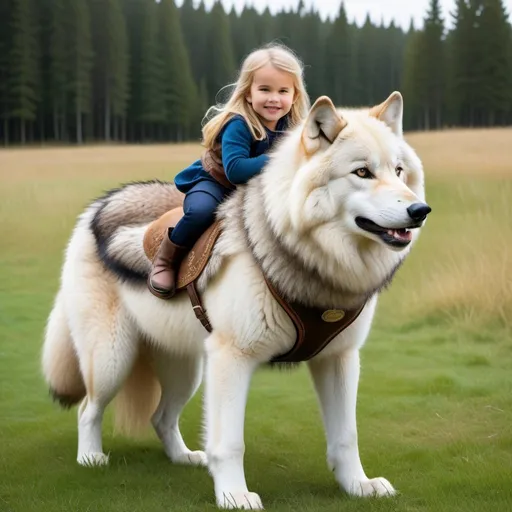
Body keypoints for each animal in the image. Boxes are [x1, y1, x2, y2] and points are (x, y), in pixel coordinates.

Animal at [42, 94, 430, 510]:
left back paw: (183, 458)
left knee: (161, 417)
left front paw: (359, 486)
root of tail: (96, 208)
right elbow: (230, 442)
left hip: (186, 371)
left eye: (399, 171)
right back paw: (90, 458)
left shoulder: (339, 359)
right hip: (113, 360)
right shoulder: (232, 359)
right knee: (88, 409)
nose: (420, 212)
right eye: (362, 172)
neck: (311, 265)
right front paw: (233, 495)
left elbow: (346, 436)